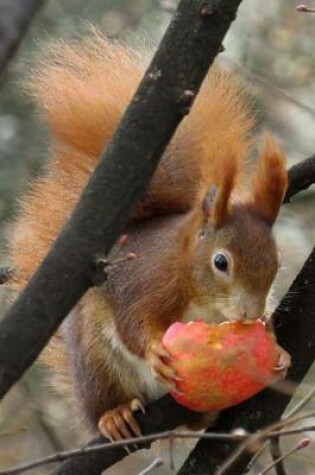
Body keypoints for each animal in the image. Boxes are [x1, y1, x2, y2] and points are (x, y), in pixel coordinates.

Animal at [8, 32, 292, 442]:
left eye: (277, 260)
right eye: (221, 262)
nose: (251, 313)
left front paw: (276, 342)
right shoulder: (145, 283)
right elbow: (134, 324)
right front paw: (157, 350)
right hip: (96, 363)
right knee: (105, 398)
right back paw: (113, 416)